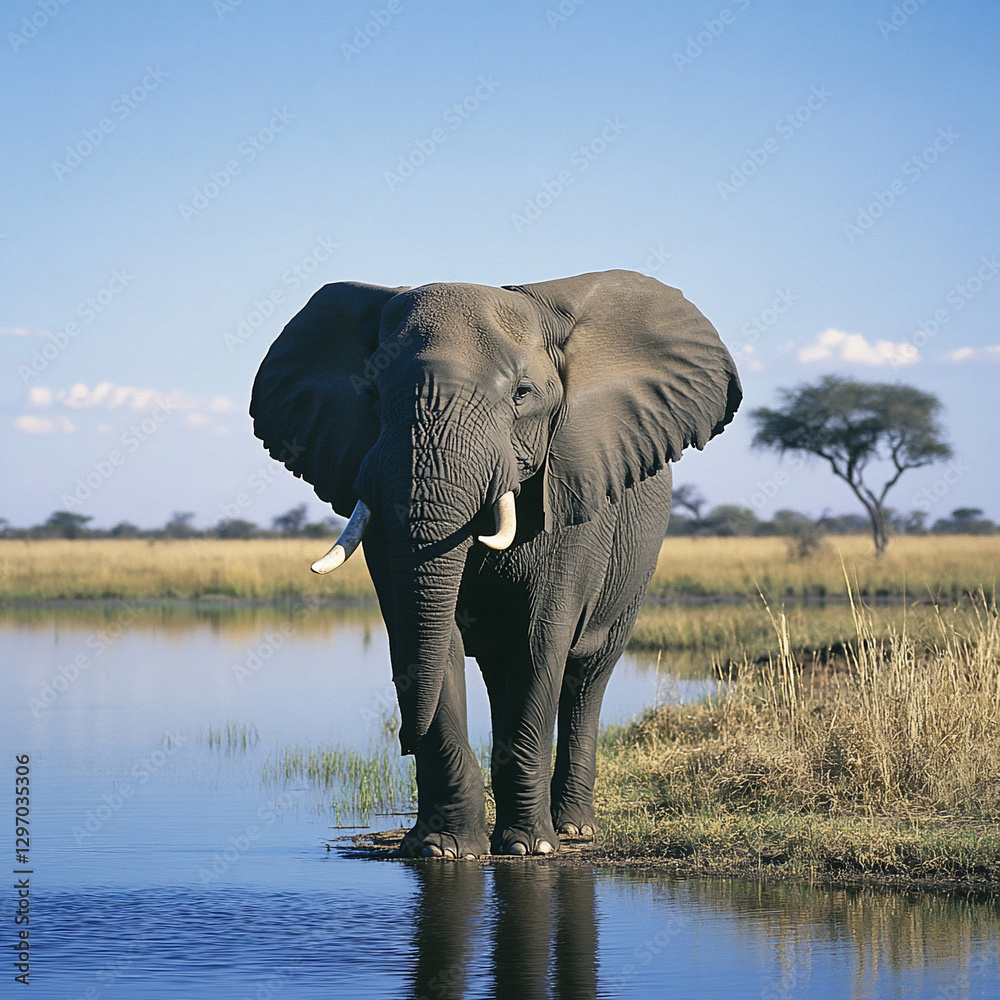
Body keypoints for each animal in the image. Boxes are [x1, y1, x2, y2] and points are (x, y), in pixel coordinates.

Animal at [250, 269, 741, 858]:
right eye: (371, 394)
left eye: (523, 395)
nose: (403, 741)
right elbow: (426, 636)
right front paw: (443, 849)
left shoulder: (572, 494)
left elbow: (539, 637)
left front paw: (530, 850)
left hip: (637, 568)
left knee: (586, 677)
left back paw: (573, 830)